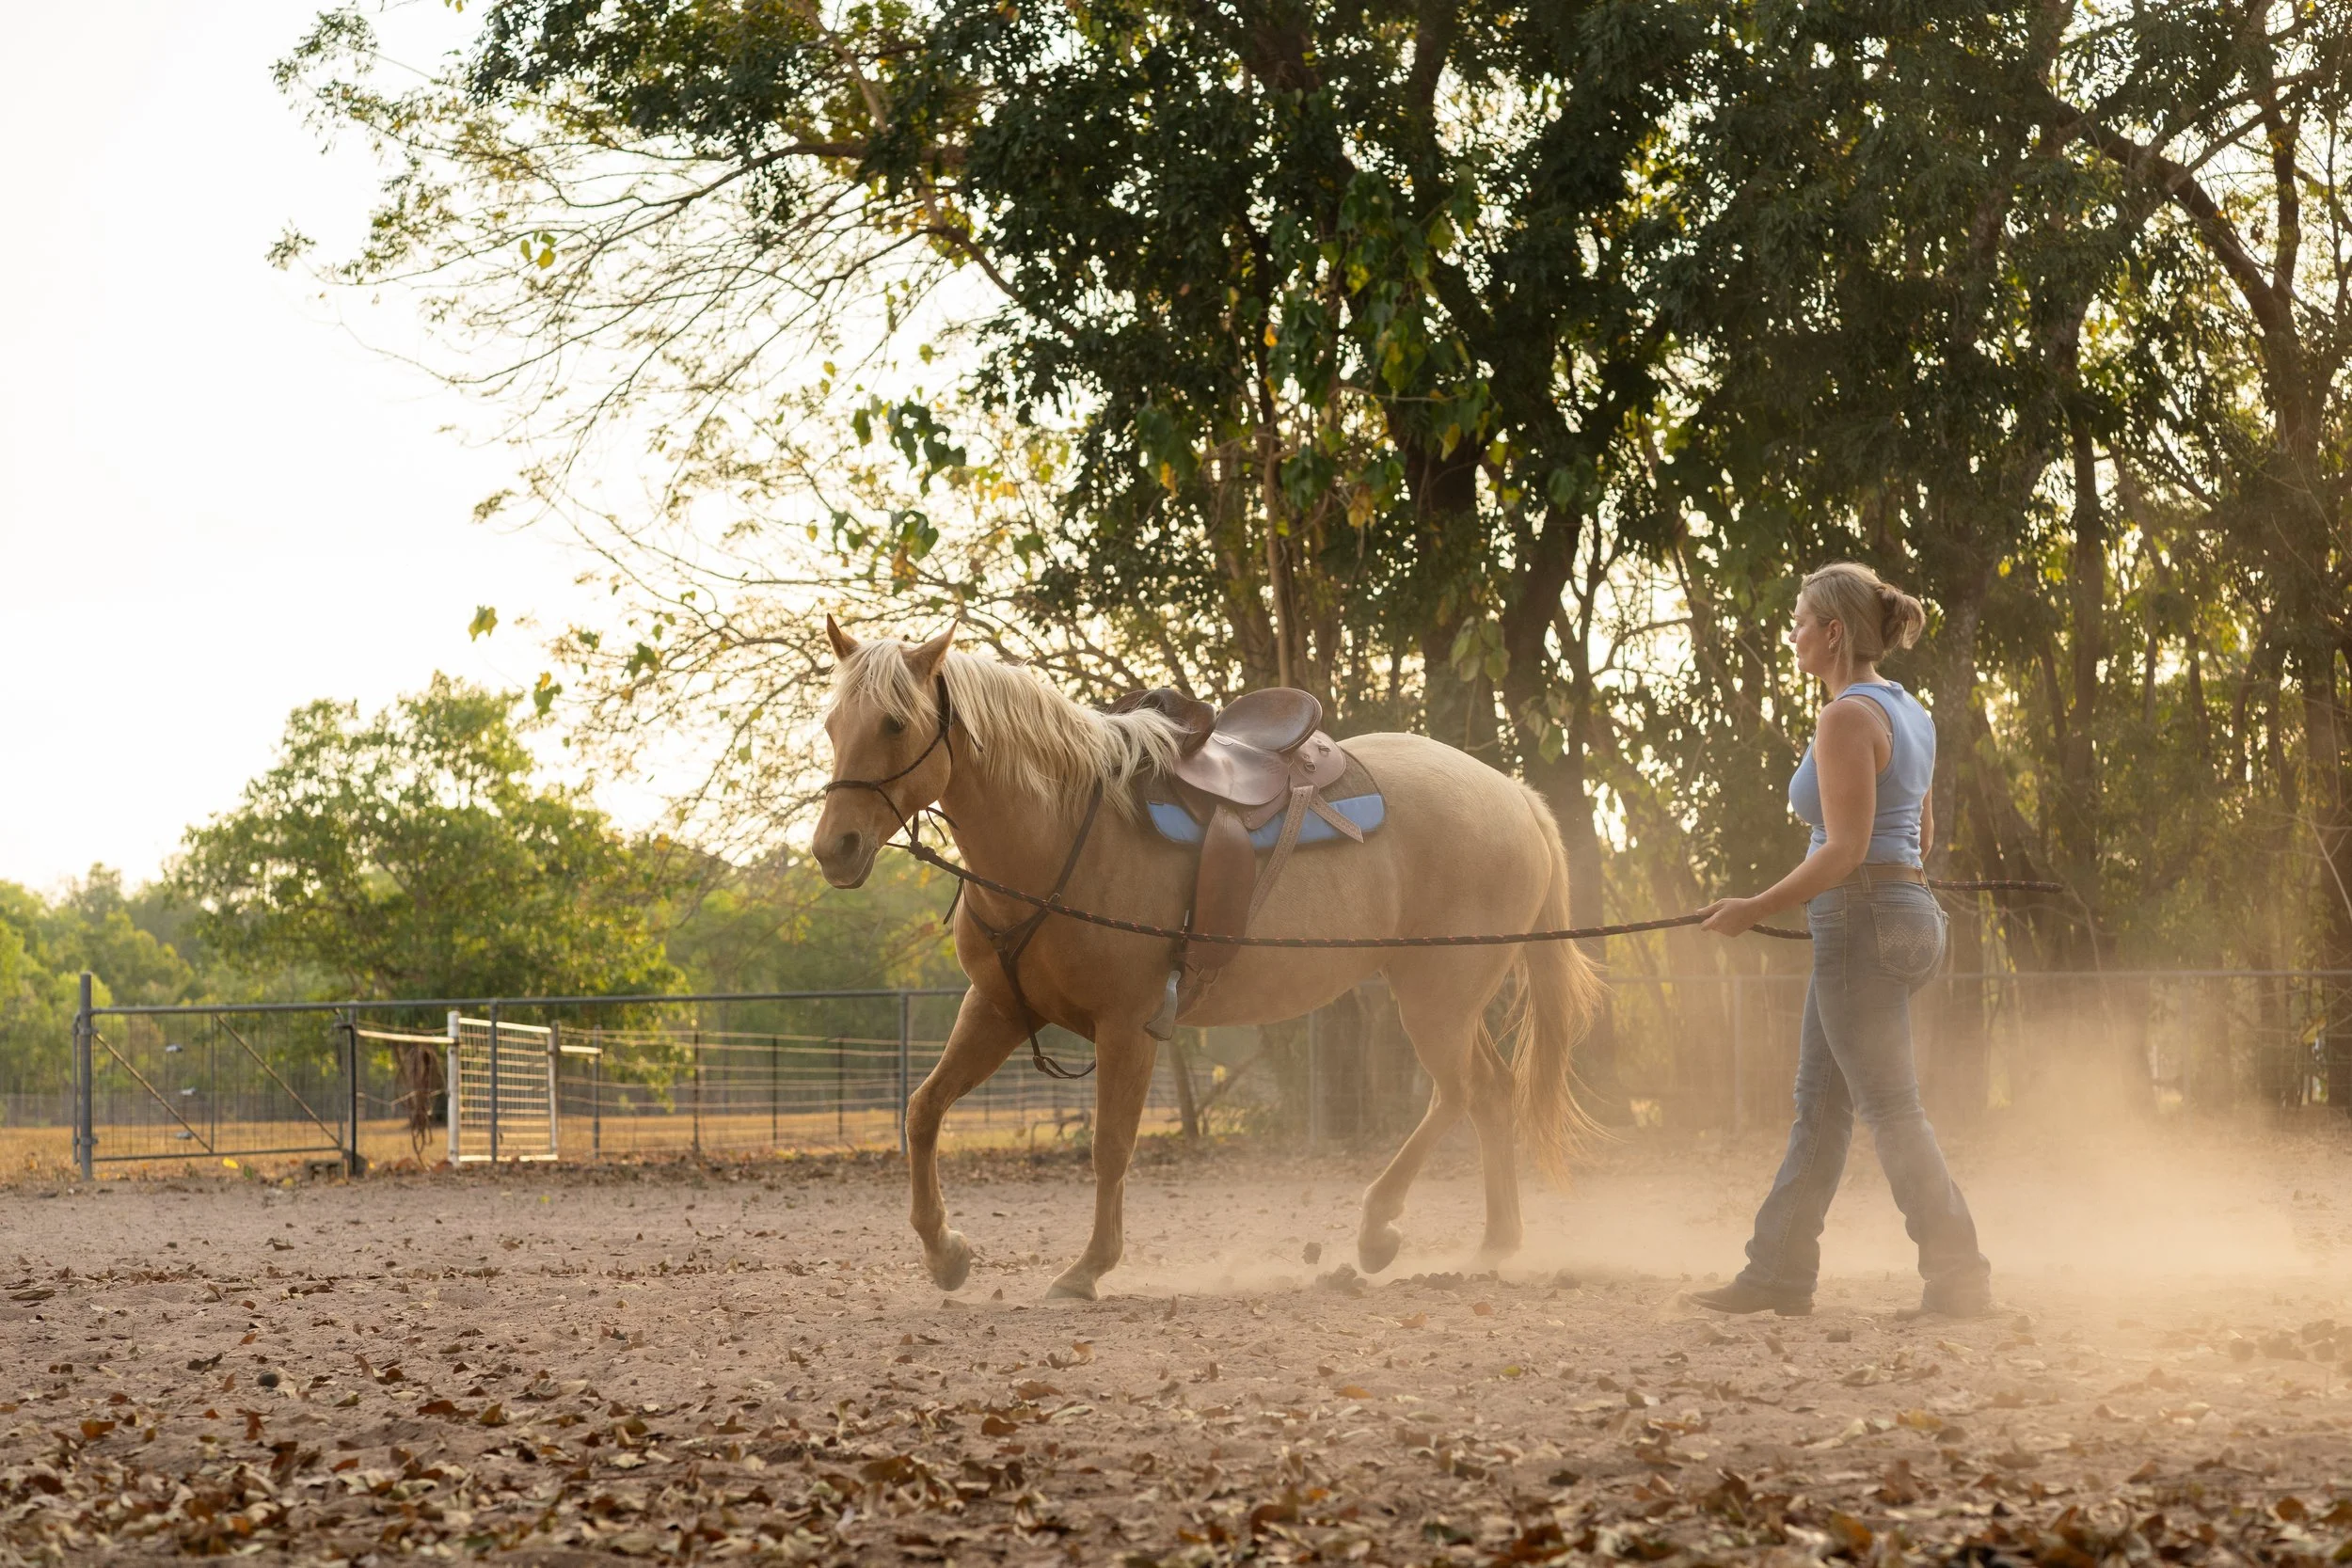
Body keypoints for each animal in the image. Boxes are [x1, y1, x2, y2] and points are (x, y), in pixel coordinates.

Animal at [810, 621, 1602, 1299]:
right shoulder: (999, 1008)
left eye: (894, 723)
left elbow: (1110, 1145)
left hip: (1438, 998)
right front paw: (946, 1252)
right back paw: (1495, 1242)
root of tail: (1516, 797)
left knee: (1459, 1095)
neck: (1061, 831)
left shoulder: (1128, 1025)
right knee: (1491, 1093)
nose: (833, 849)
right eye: (832, 724)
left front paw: (1088, 1267)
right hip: (1447, 998)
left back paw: (1380, 1228)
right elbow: (922, 1110)